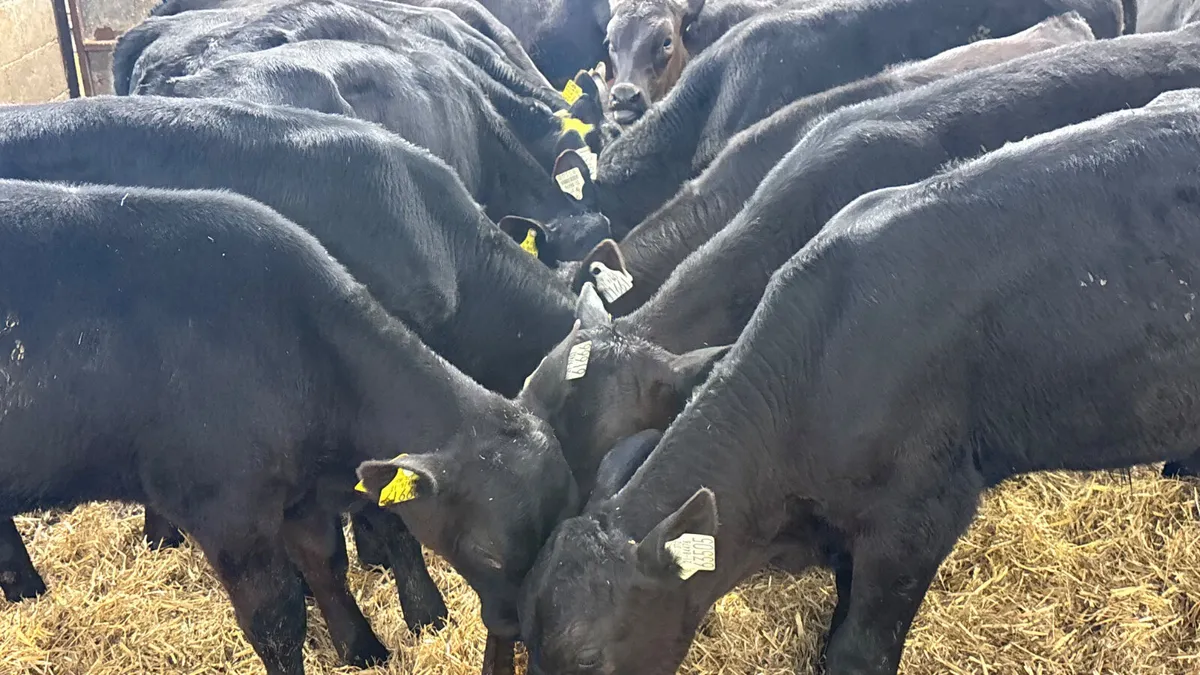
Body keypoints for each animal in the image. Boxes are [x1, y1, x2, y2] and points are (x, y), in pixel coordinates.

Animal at [0, 97, 583, 663]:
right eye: (488, 552)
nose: (519, 629)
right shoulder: (231, 514)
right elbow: (283, 616)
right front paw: (425, 613)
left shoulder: (306, 490)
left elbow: (326, 559)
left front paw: (363, 647)